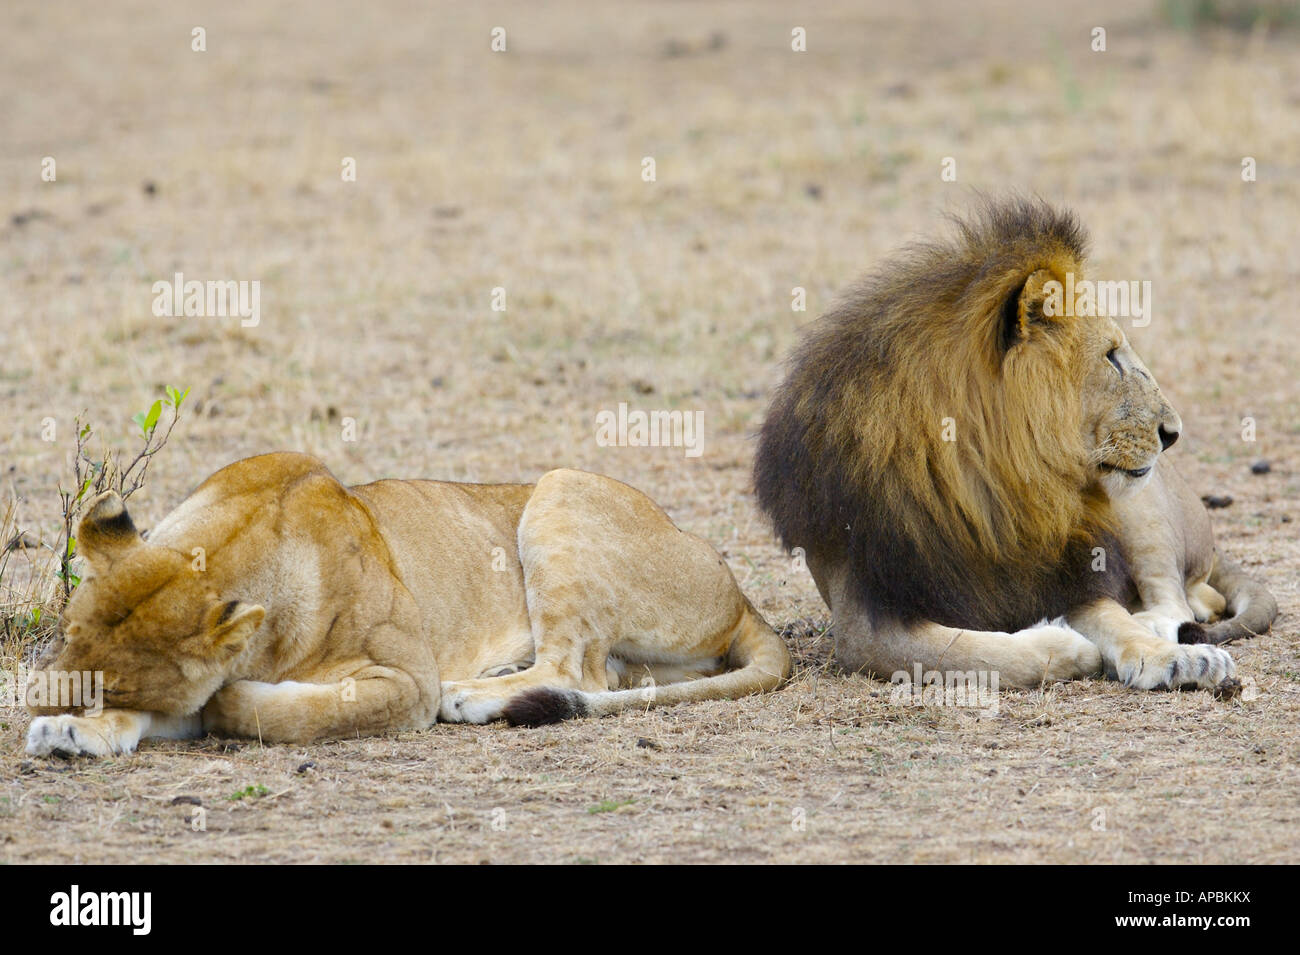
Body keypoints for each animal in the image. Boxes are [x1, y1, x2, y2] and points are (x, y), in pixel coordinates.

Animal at [25, 453, 790, 756]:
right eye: (61, 638)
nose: (34, 700)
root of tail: (739, 588)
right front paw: (76, 732)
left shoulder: (404, 678)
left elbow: (294, 713)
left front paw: (239, 704)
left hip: (560, 488)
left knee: (579, 672)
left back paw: (473, 696)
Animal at [754, 197, 1277, 691]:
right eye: (1112, 357)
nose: (1173, 433)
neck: (993, 481)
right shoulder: (865, 620)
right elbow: (963, 653)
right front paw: (1069, 646)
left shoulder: (1065, 574)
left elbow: (1114, 621)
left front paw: (1177, 659)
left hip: (1140, 506)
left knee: (1184, 598)